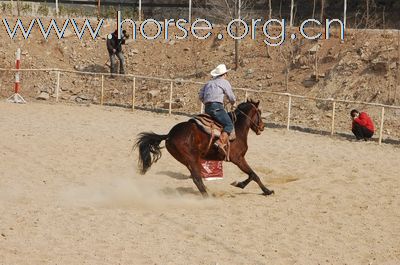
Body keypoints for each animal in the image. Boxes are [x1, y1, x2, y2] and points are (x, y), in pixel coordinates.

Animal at [134, 99, 276, 196]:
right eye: (259, 112)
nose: (262, 127)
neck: (237, 128)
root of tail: (169, 135)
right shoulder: (238, 159)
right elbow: (253, 175)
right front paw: (266, 190)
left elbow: (252, 175)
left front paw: (242, 185)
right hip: (192, 159)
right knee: (197, 179)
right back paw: (208, 196)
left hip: (188, 161)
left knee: (197, 178)